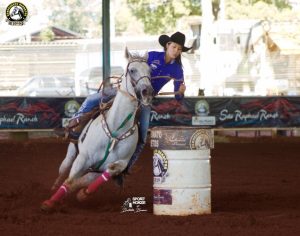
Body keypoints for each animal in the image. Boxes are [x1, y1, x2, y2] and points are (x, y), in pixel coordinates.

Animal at [41, 48, 154, 212]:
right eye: (132, 70)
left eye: (150, 71)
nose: (148, 91)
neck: (116, 128)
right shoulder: (83, 158)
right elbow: (69, 181)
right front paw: (49, 203)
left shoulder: (118, 164)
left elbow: (109, 170)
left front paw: (83, 194)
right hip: (72, 153)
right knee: (64, 171)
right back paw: (54, 188)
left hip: (93, 169)